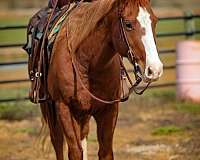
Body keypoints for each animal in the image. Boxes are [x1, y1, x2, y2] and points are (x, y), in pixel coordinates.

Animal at [38, 0, 162, 159]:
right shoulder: (64, 108)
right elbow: (75, 152)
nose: (155, 69)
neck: (85, 62)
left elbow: (105, 151)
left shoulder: (109, 109)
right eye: (128, 24)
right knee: (57, 142)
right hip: (50, 109)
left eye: (155, 21)